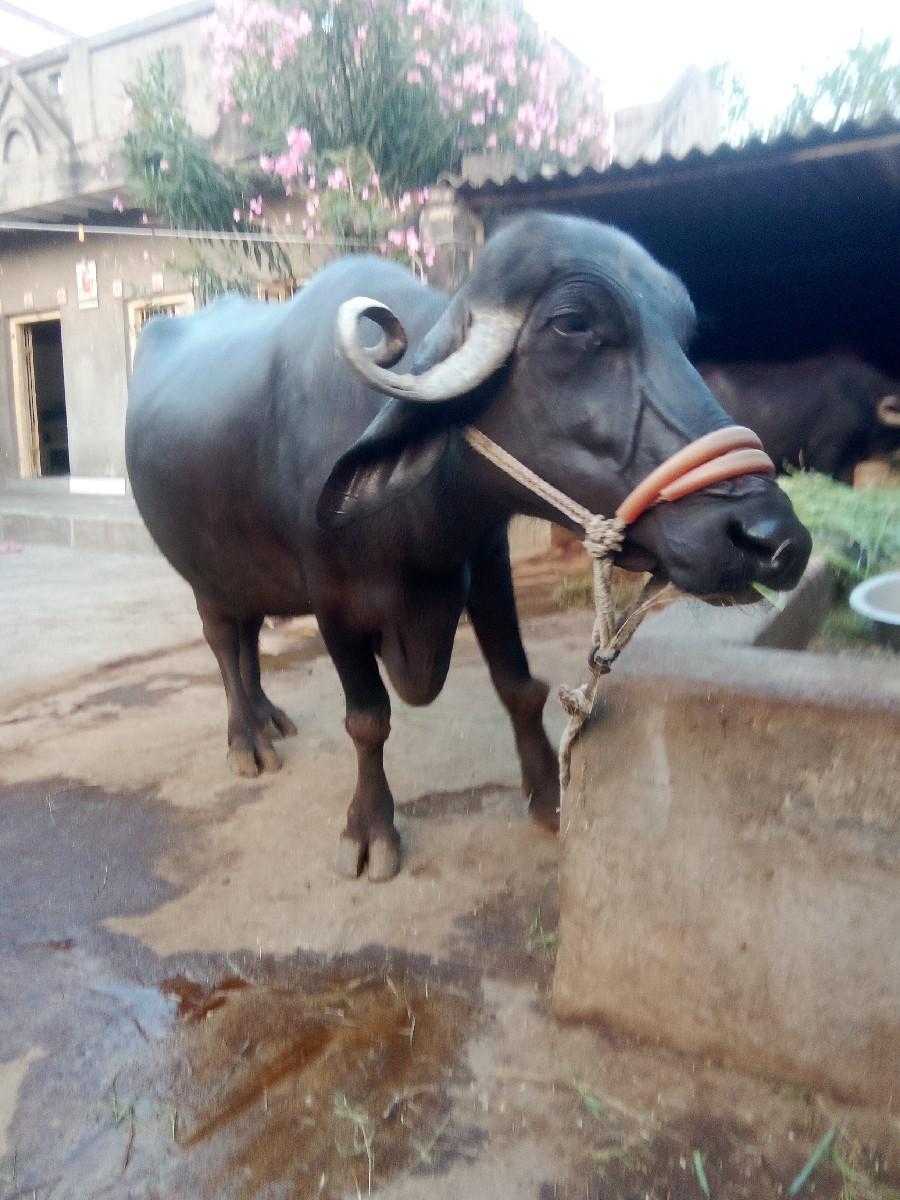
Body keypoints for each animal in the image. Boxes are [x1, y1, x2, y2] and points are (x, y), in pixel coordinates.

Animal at [126, 214, 811, 881]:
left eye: (683, 337)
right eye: (573, 323)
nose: (774, 540)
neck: (416, 521)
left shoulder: (485, 565)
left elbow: (519, 686)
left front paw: (549, 799)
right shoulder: (331, 602)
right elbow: (367, 720)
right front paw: (369, 831)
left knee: (248, 637)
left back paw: (269, 716)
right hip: (199, 574)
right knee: (223, 642)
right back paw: (247, 740)